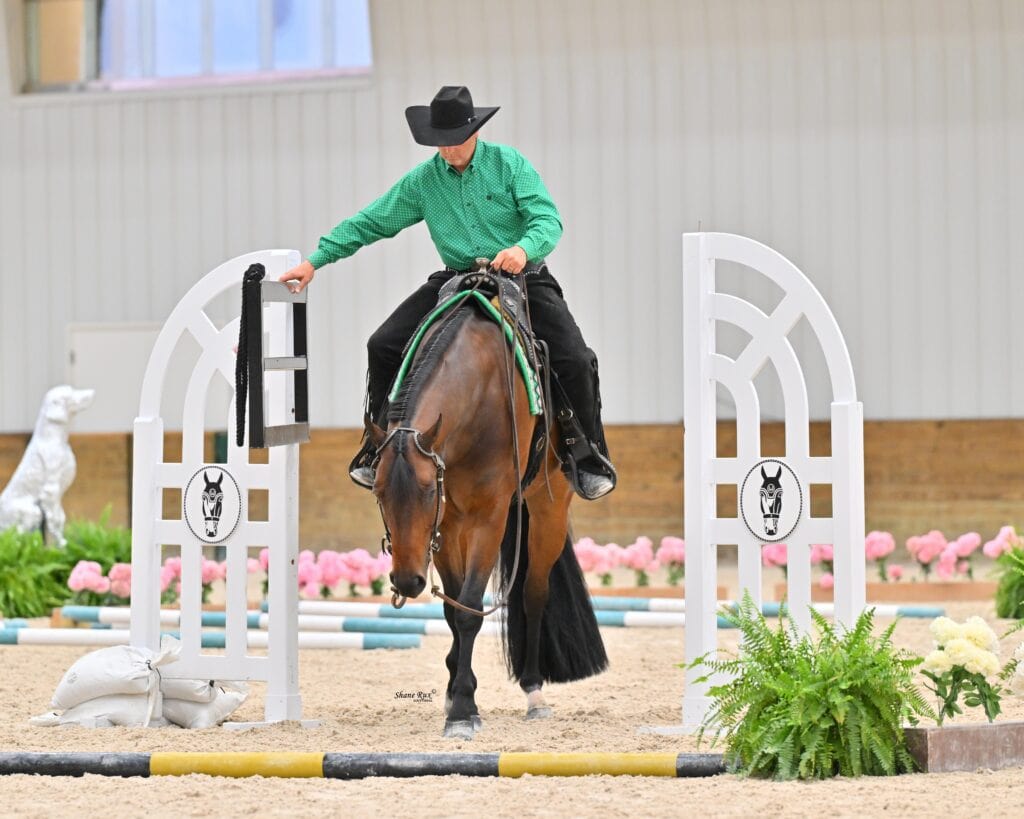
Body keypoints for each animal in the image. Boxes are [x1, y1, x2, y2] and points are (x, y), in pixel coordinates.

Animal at [364, 278, 608, 739]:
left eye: (428, 491)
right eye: (380, 494)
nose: (406, 581)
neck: (480, 390)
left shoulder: (488, 519)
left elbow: (470, 610)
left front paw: (462, 709)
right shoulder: (445, 526)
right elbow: (453, 605)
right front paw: (456, 692)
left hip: (546, 509)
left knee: (533, 592)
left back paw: (534, 690)